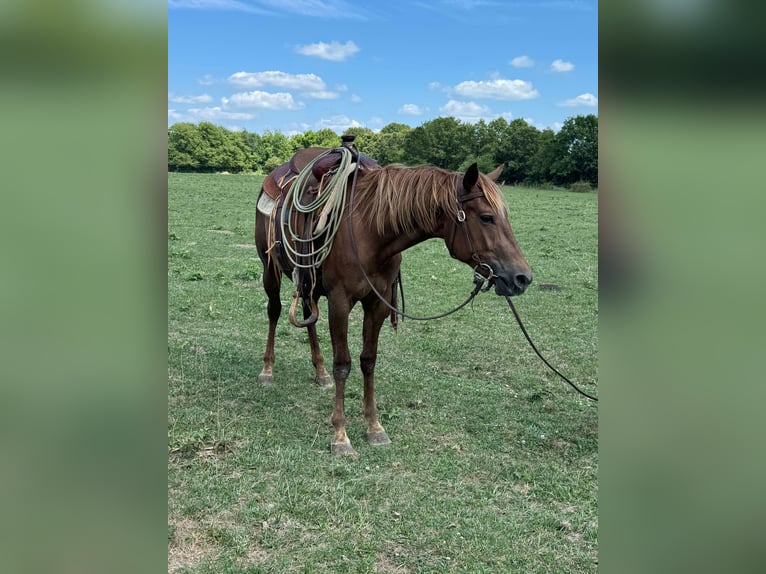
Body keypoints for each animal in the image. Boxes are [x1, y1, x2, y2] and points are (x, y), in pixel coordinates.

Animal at [255, 151, 532, 456]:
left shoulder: (378, 304)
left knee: (307, 314)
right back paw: (267, 370)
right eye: (486, 217)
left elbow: (368, 361)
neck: (370, 232)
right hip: (270, 270)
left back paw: (320, 371)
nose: (522, 278)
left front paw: (374, 426)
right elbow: (343, 364)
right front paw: (340, 435)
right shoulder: (340, 302)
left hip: (309, 281)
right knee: (274, 311)